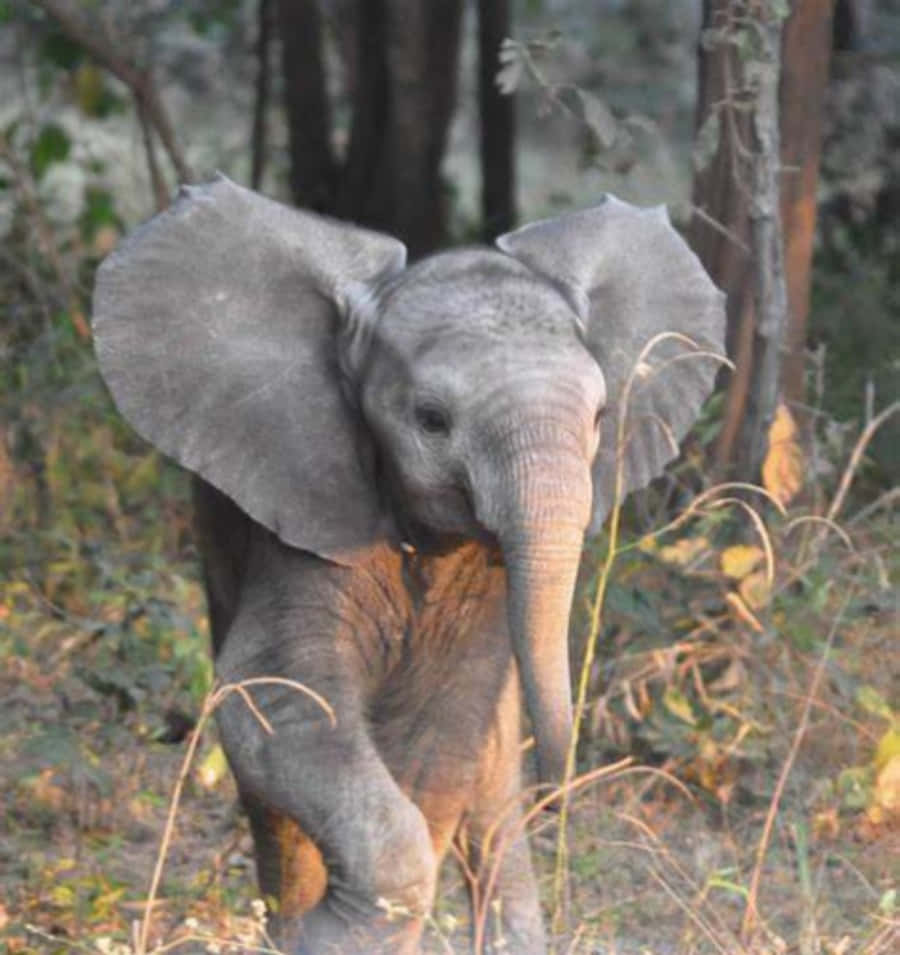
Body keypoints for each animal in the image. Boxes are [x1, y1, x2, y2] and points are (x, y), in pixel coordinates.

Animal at [92, 176, 725, 954]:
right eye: (430, 420)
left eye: (604, 417)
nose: (559, 796)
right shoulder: (306, 508)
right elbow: (275, 693)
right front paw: (320, 931)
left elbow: (436, 731)